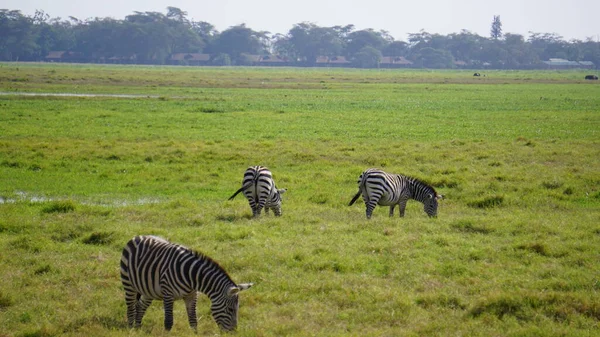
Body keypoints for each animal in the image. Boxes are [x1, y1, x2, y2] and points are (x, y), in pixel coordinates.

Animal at [120, 235, 252, 332]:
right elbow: (169, 322)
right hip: (128, 284)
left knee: (140, 306)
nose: (234, 332)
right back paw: (131, 329)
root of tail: (138, 237)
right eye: (230, 309)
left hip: (149, 289)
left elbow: (193, 320)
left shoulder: (192, 296)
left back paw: (138, 328)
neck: (192, 276)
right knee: (130, 307)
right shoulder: (168, 294)